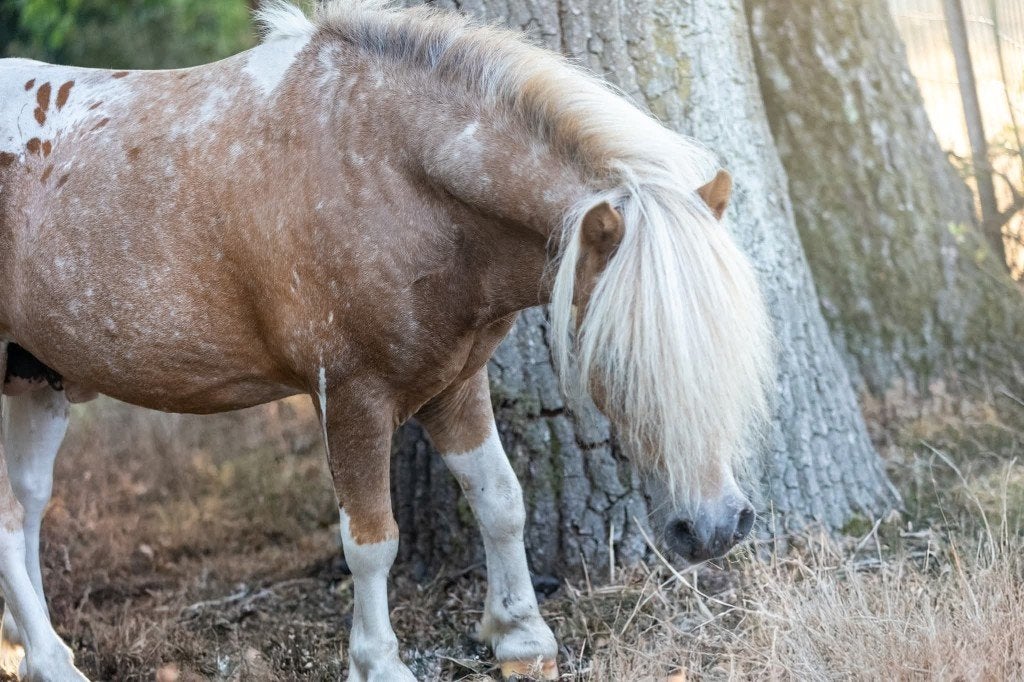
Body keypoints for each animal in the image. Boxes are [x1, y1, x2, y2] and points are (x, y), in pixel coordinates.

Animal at [0, 1, 774, 679]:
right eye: (617, 355)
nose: (715, 527)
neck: (392, 175)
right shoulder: (352, 399)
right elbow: (372, 542)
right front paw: (379, 664)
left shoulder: (455, 383)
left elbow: (501, 499)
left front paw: (522, 638)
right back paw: (53, 662)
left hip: (37, 381)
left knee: (27, 507)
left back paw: (30, 646)